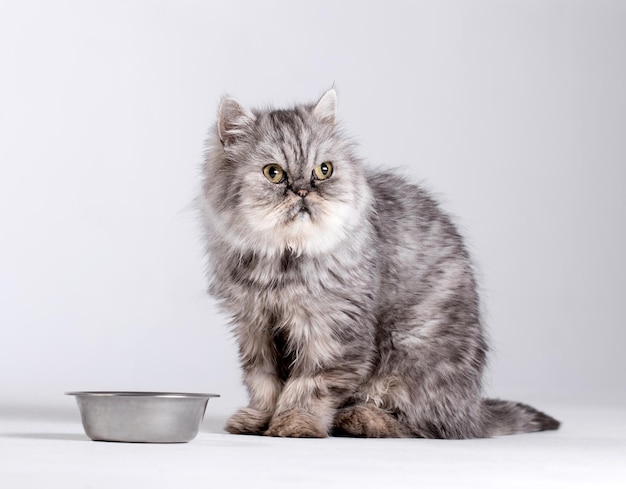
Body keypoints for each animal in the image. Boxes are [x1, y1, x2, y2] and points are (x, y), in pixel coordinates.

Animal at [197, 87, 560, 438]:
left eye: (323, 170)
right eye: (273, 174)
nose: (302, 191)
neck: (281, 263)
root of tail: (474, 410)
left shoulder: (334, 331)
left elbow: (310, 386)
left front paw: (296, 422)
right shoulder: (255, 328)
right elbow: (263, 384)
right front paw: (258, 419)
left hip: (411, 353)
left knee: (426, 427)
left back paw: (360, 419)